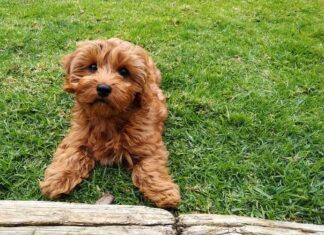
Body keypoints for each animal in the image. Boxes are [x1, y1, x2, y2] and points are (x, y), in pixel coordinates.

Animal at [39, 37, 181, 208]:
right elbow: (70, 154)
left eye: (124, 72)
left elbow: (151, 166)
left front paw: (163, 191)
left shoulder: (149, 143)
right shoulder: (77, 135)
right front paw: (57, 179)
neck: (107, 118)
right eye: (93, 67)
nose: (103, 88)